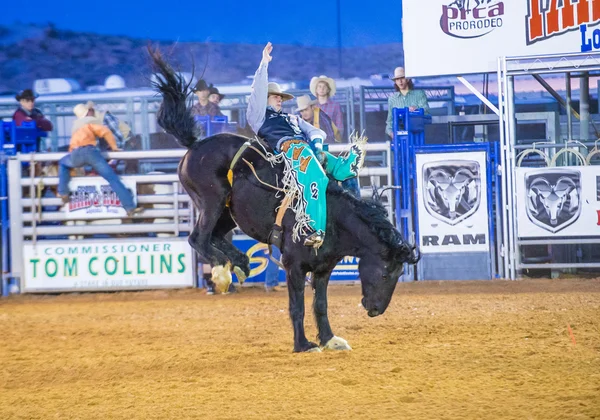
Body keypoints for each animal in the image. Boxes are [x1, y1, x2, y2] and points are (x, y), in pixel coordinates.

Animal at [149, 48, 420, 352]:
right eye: (385, 273)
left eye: (398, 275)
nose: (376, 310)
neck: (334, 219)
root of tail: (196, 144)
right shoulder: (295, 266)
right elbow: (297, 307)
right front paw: (303, 344)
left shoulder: (324, 269)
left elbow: (321, 305)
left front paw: (329, 339)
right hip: (211, 201)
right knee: (198, 238)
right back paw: (222, 272)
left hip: (228, 213)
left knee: (216, 237)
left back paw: (241, 263)